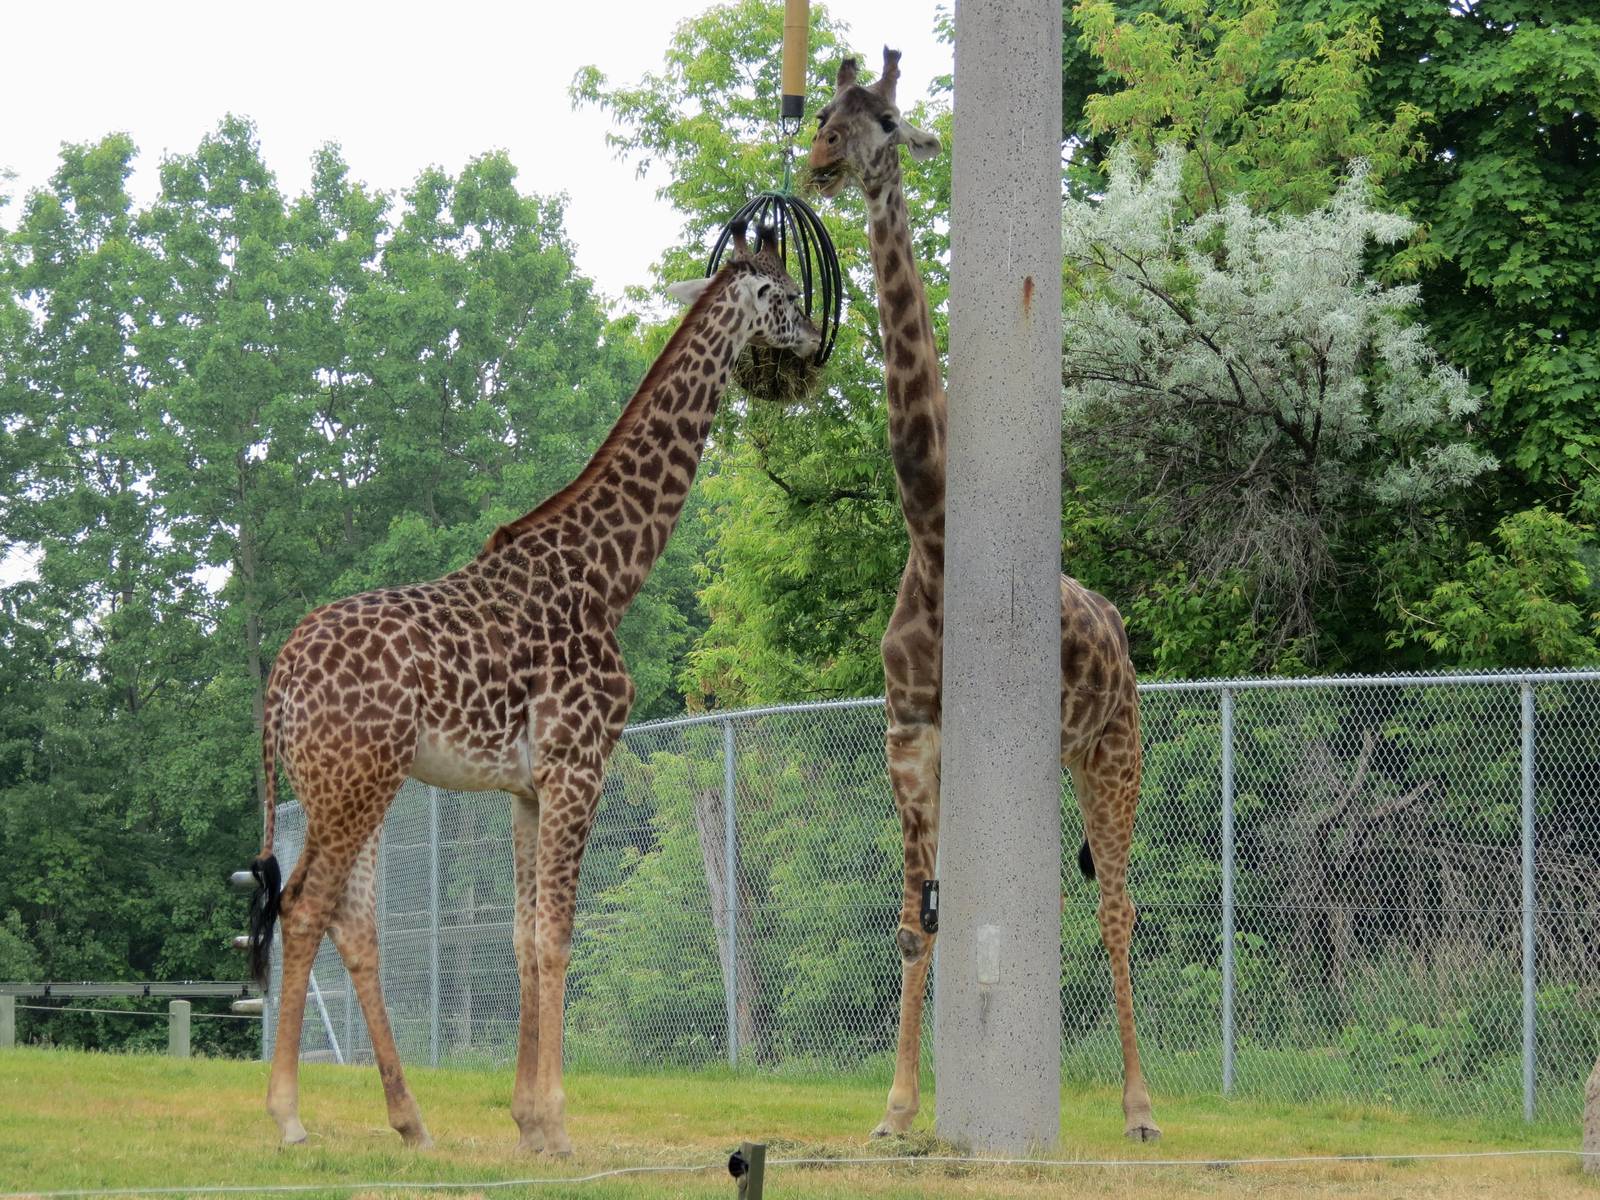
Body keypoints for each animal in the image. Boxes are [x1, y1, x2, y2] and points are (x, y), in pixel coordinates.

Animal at [241, 226, 819, 1154]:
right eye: (788, 293)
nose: (810, 339)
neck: (610, 575)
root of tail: (280, 685)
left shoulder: (523, 786)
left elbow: (520, 938)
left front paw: (524, 1119)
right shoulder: (578, 765)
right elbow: (558, 938)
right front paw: (554, 1123)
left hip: (347, 785)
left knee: (350, 922)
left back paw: (410, 1121)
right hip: (355, 782)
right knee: (303, 908)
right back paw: (290, 1117)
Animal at [808, 49, 1160, 1142]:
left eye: (885, 120)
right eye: (826, 112)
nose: (820, 159)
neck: (931, 537)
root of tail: (1120, 629)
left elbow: (947, 911)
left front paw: (907, 1105)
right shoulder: (909, 727)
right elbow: (915, 916)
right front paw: (894, 1111)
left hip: (1110, 749)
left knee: (1116, 906)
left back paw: (1140, 1109)